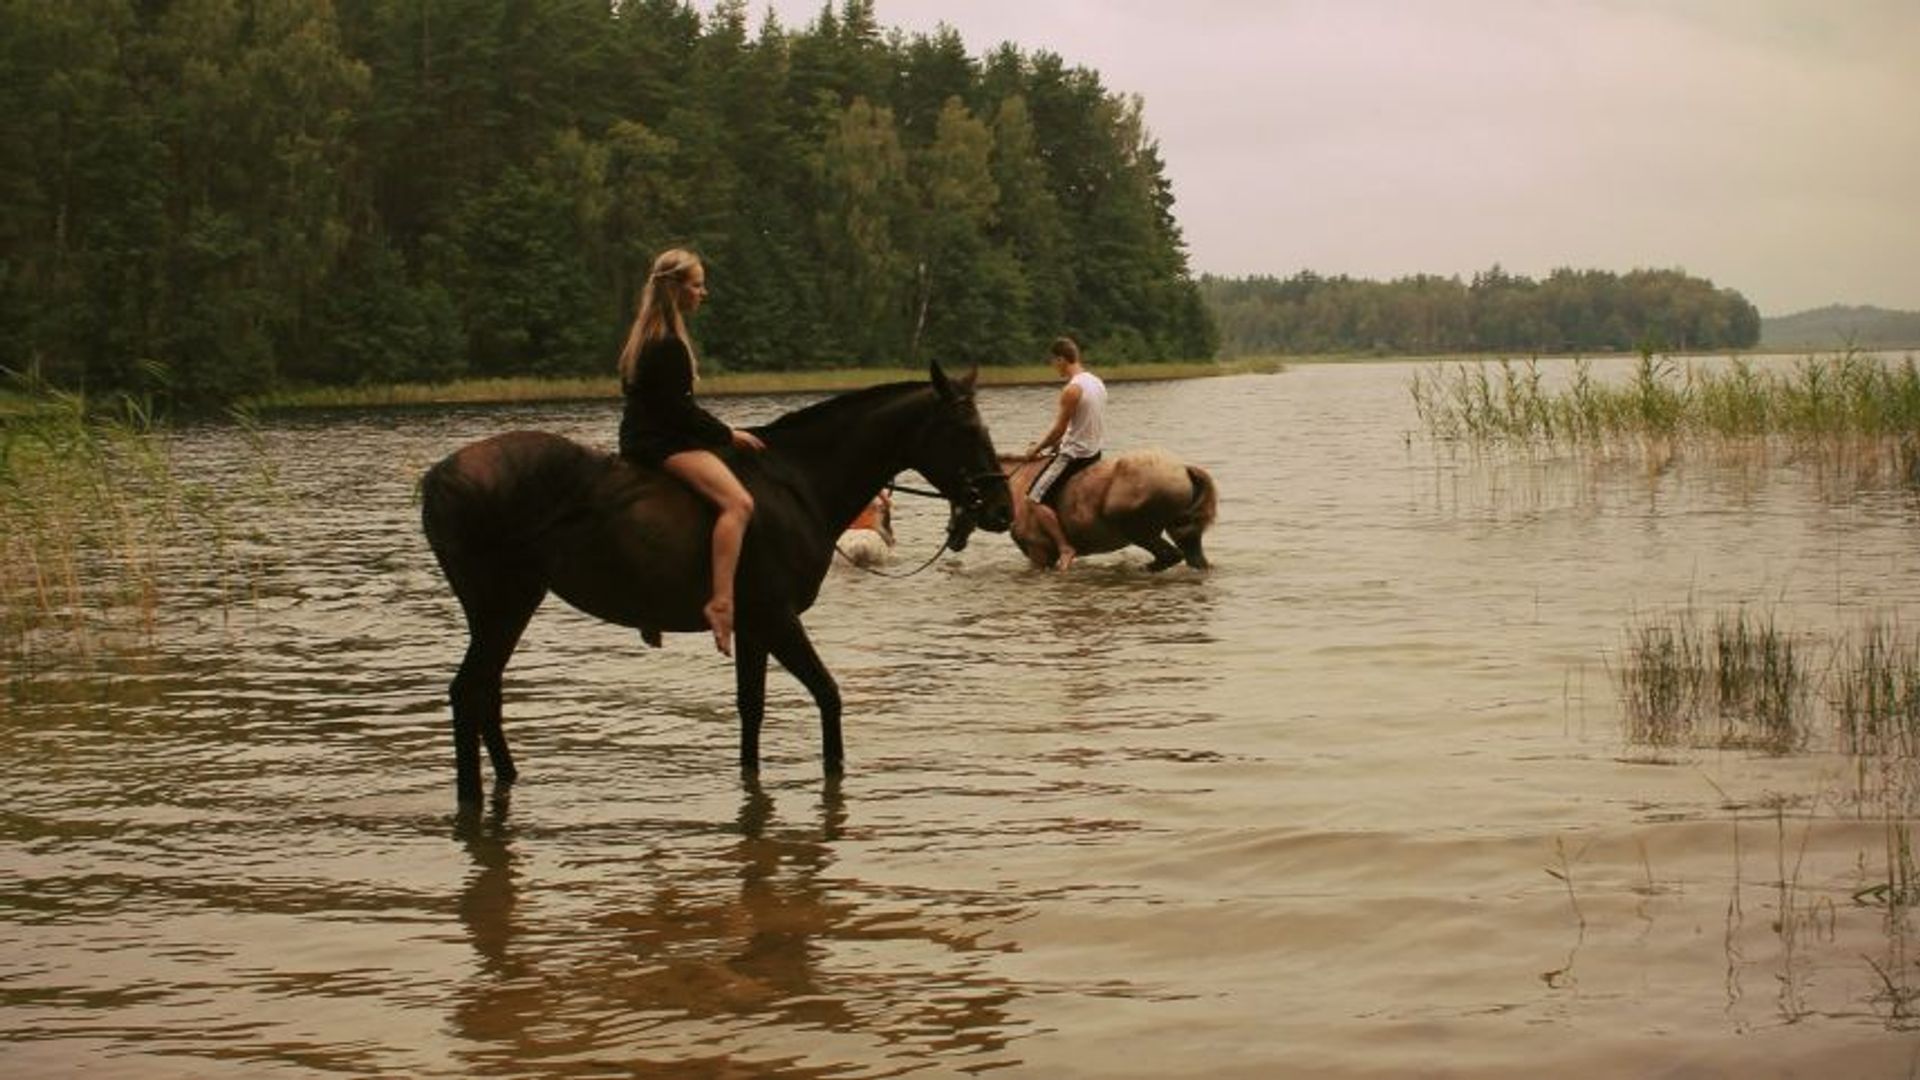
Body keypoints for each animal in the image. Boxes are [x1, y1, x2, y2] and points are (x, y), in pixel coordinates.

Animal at [424, 361, 1021, 799]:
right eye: (967, 430)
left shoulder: (754, 627)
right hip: (502, 604)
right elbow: (827, 695)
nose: (1001, 508)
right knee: (469, 692)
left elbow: (751, 710)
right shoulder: (777, 618)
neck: (797, 482)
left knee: (485, 692)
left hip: (506, 608)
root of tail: (440, 476)